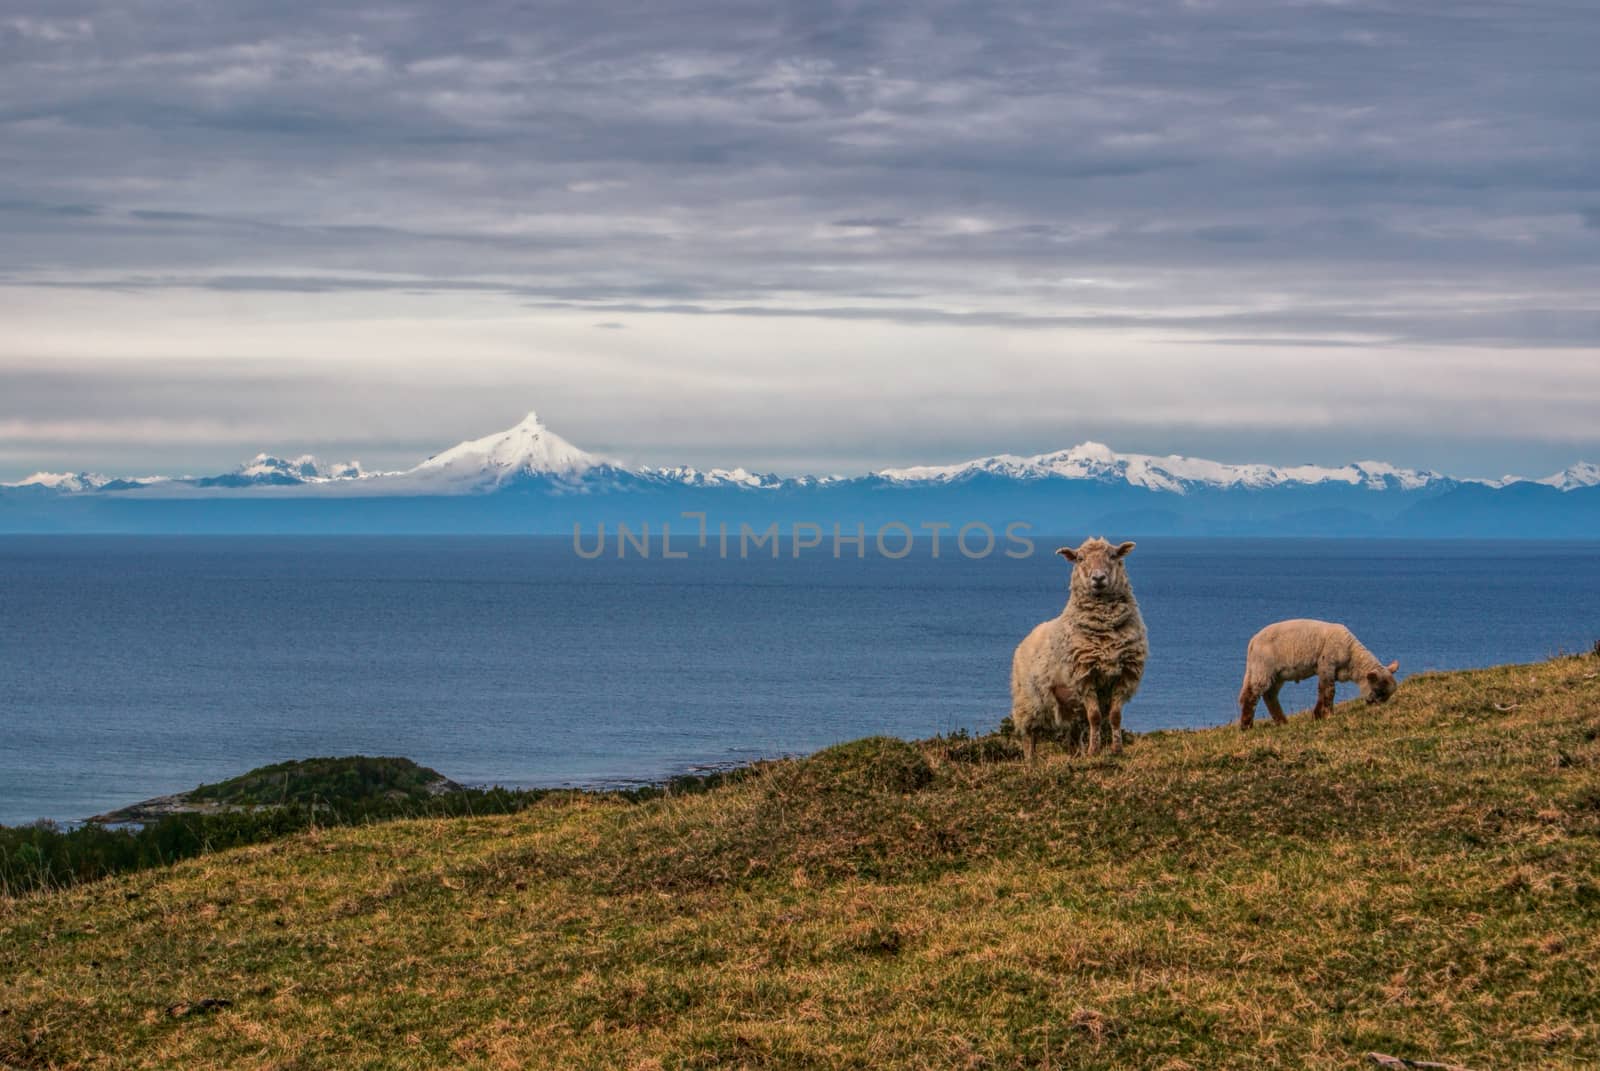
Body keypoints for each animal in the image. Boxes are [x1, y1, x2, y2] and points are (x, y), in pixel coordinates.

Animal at [1011, 534, 1152, 758]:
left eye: (1113, 556)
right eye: (1080, 558)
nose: (1098, 578)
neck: (1106, 631)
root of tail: (1028, 636)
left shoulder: (1124, 675)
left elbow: (1115, 716)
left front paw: (1116, 750)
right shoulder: (1084, 675)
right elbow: (1094, 717)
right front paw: (1094, 751)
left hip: (1068, 703)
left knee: (1073, 731)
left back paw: (1076, 754)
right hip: (1028, 698)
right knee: (1029, 734)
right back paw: (1031, 760)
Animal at [1235, 614, 1401, 730]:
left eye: (1387, 696)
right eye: (1378, 690)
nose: (1374, 706)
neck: (1351, 656)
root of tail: (1253, 642)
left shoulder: (1326, 670)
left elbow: (1323, 691)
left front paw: (1317, 716)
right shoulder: (1327, 664)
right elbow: (1329, 691)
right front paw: (1328, 715)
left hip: (1277, 675)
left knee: (1270, 695)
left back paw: (1282, 722)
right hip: (1263, 668)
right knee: (1251, 695)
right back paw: (1246, 726)